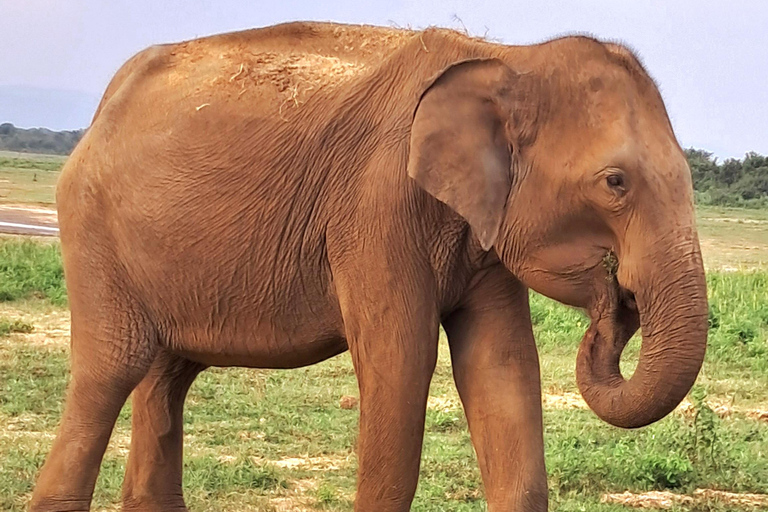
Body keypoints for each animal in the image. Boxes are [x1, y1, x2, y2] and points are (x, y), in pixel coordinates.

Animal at [34, 21, 708, 512]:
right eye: (615, 182)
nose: (616, 305)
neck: (507, 56)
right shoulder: (375, 208)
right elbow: (400, 361)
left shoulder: (481, 231)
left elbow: (503, 364)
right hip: (91, 227)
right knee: (111, 369)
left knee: (166, 376)